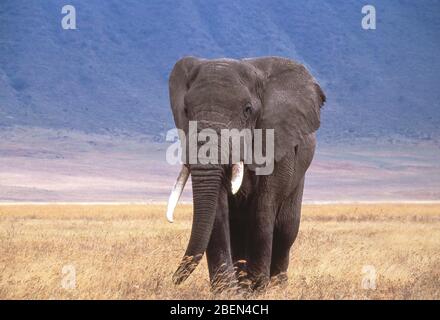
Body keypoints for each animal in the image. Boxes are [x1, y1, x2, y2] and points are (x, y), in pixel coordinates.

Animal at [167, 56, 324, 292]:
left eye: (247, 110)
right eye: (185, 110)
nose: (171, 279)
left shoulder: (276, 142)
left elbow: (263, 209)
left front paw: (257, 289)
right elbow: (218, 211)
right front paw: (227, 291)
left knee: (286, 230)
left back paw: (277, 286)